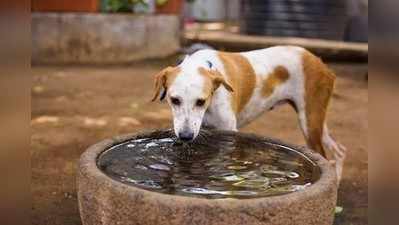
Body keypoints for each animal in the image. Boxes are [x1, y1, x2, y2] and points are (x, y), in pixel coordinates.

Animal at [152, 45, 346, 181]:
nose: (186, 136)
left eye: (201, 101)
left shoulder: (228, 133)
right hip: (316, 122)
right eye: (174, 100)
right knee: (339, 151)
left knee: (326, 156)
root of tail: (317, 60)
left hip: (309, 123)